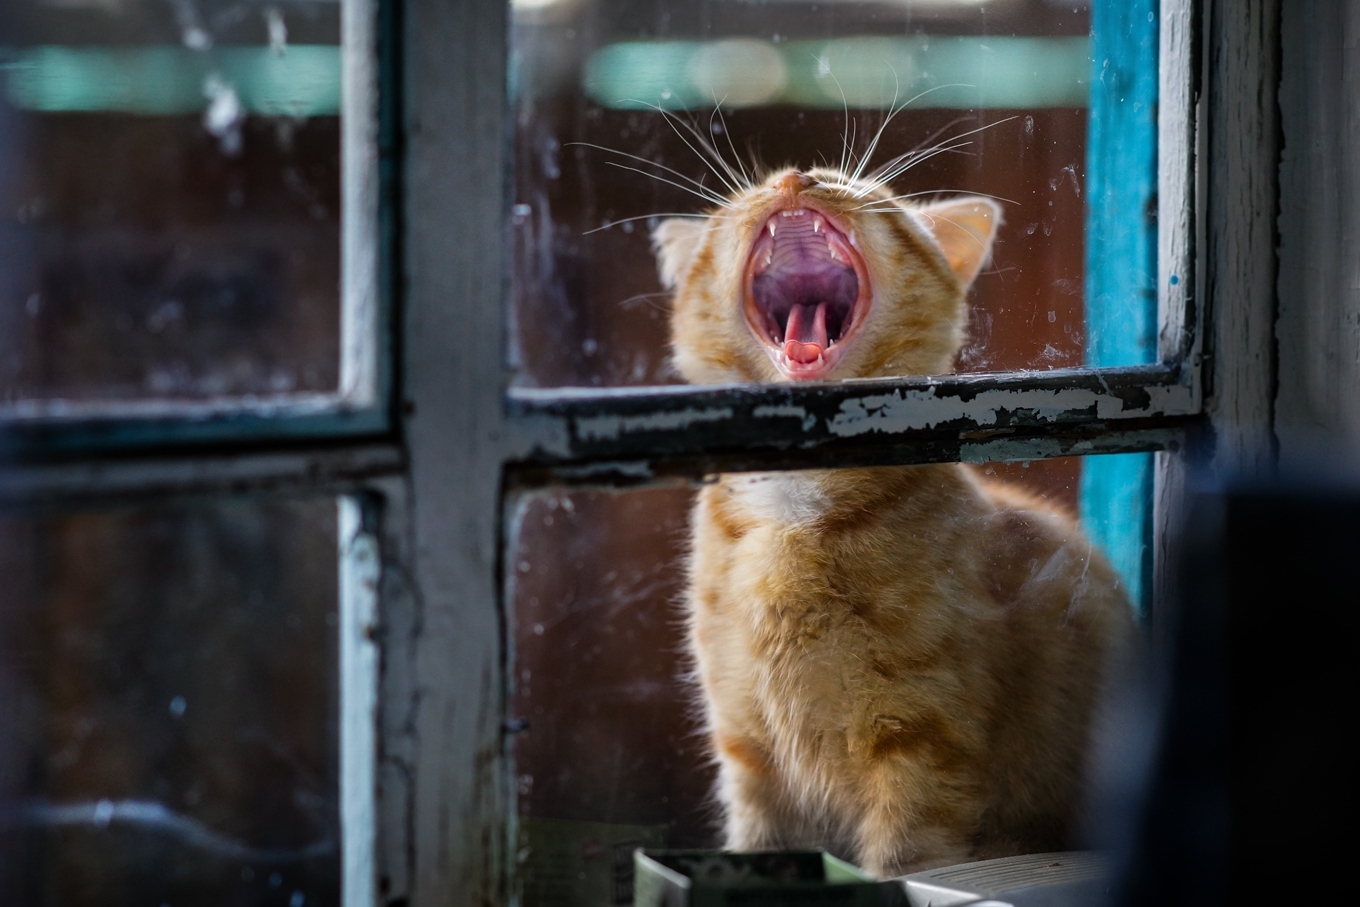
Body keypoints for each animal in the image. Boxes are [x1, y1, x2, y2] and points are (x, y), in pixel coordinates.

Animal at [652, 165, 1131, 881]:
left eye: (840, 181)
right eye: (753, 192)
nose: (795, 176)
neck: (793, 508)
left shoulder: (924, 752)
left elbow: (902, 861)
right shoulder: (750, 756)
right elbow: (757, 847)